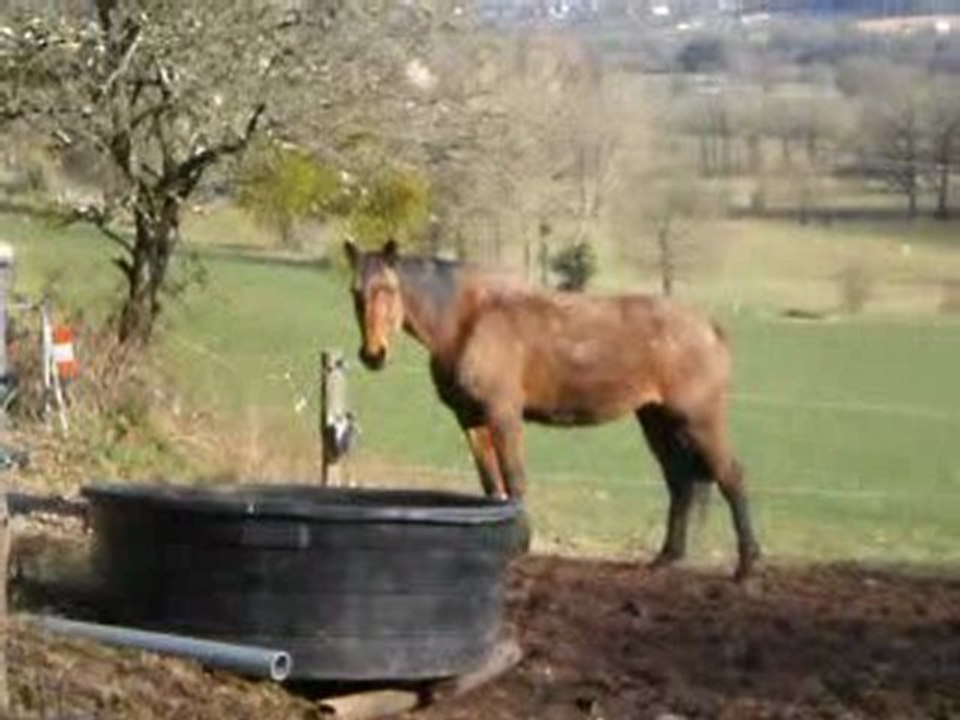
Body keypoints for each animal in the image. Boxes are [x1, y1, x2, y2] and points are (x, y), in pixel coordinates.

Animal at [344, 239, 761, 581]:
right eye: (356, 292)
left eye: (389, 289)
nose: (373, 354)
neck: (469, 320)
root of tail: (709, 327)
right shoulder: (471, 421)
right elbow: (491, 486)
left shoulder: (503, 416)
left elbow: (514, 480)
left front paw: (521, 544)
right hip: (657, 421)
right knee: (679, 482)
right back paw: (667, 557)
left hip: (700, 420)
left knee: (731, 477)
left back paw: (746, 566)